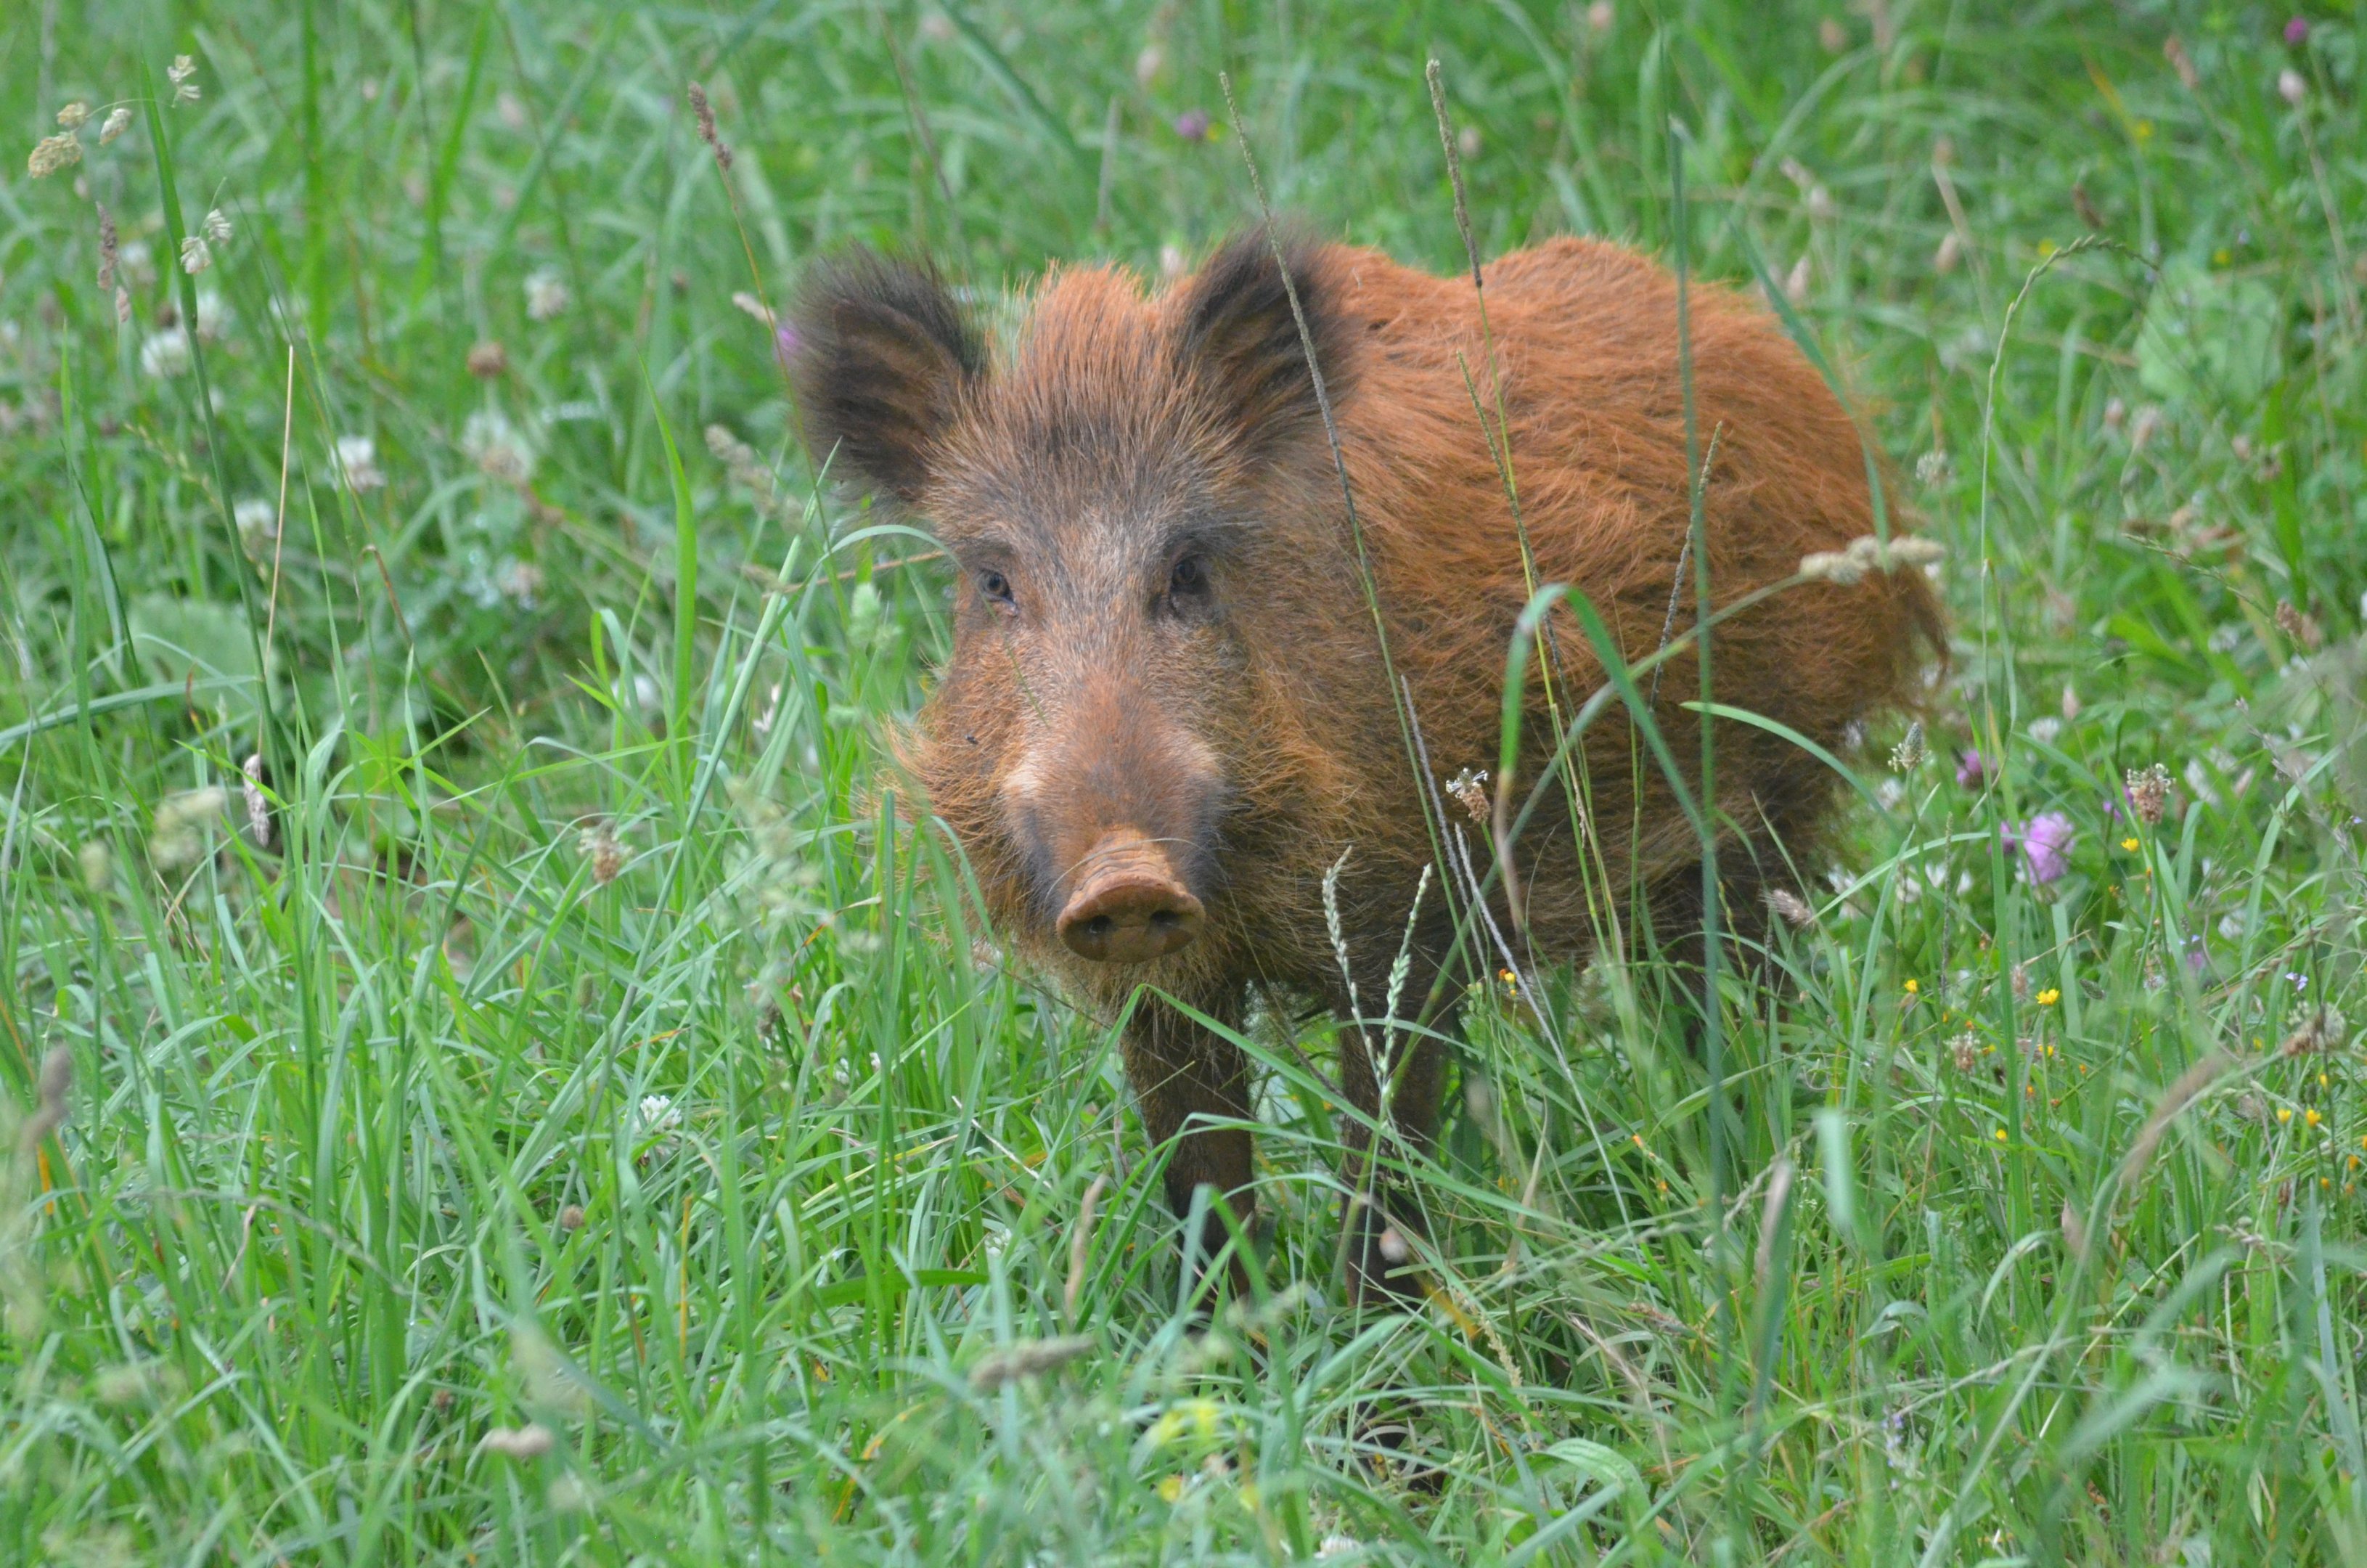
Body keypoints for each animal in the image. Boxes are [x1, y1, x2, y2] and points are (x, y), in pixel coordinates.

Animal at [788, 228, 1940, 1303]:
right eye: (993, 583)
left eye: (1189, 571)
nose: (1122, 875)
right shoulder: (1161, 984)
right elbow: (1200, 1173)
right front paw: (1223, 1348)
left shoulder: (1409, 914)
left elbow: (1386, 1156)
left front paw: (1373, 1357)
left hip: (1773, 792)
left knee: (1749, 983)